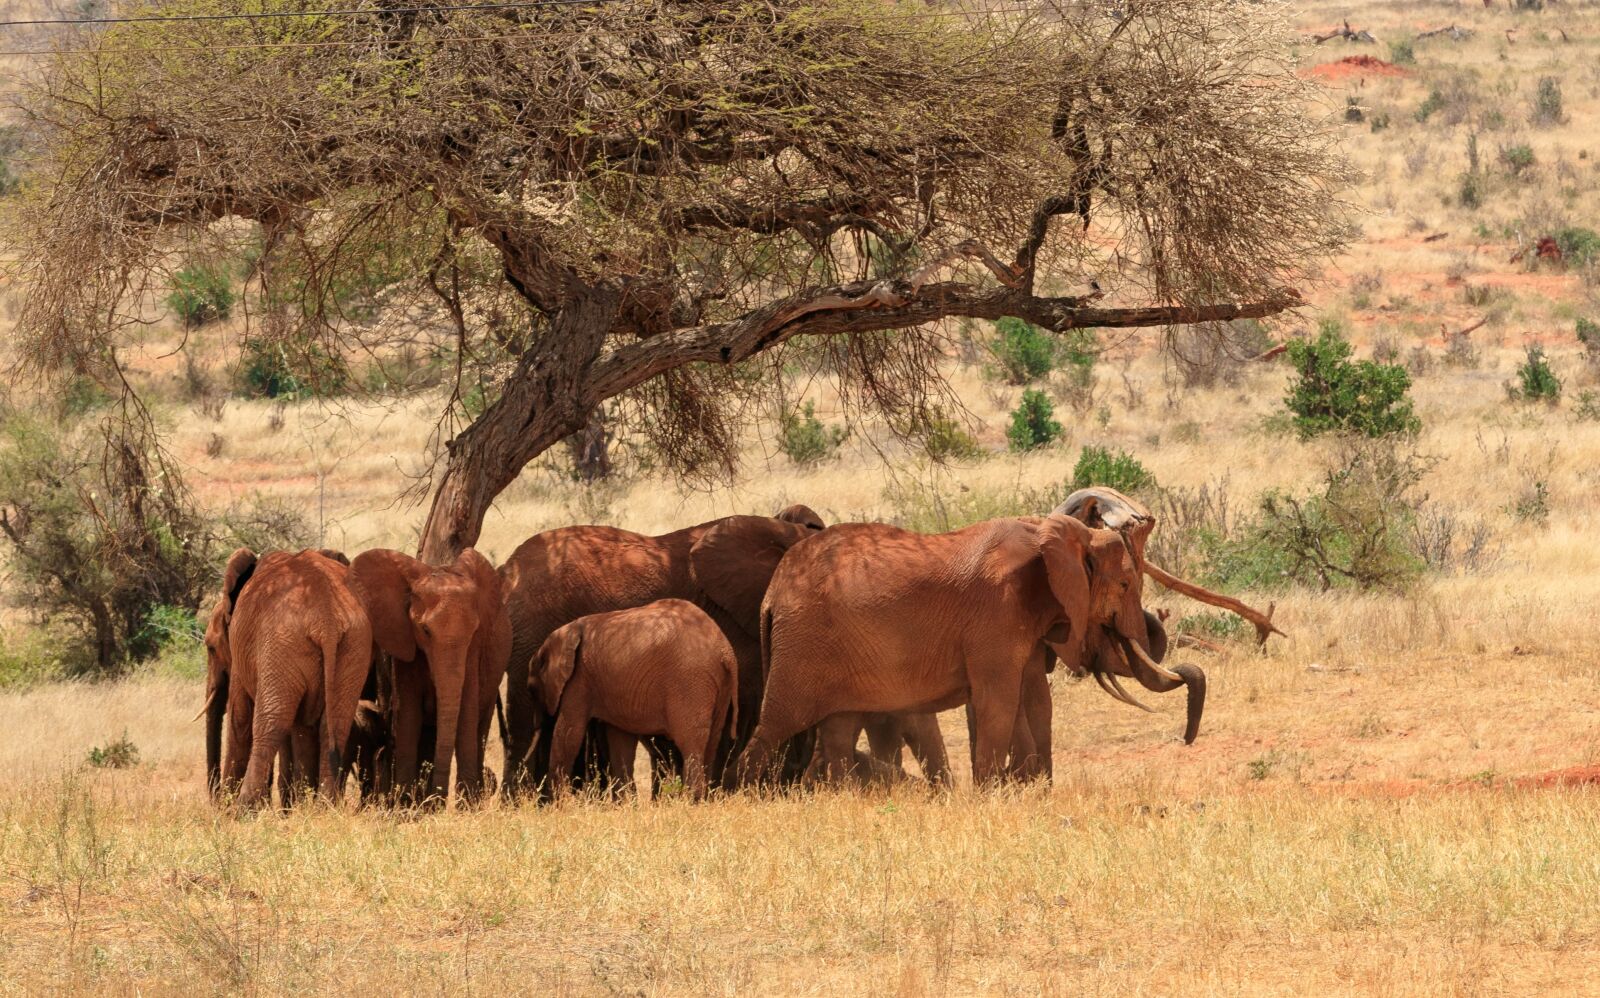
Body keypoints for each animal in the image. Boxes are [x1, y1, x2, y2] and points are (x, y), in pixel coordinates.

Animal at [212, 548, 373, 809]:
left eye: (211, 648)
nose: (215, 800)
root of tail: (327, 618)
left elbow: (240, 716)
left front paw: (224, 811)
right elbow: (303, 728)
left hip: (281, 642)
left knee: (270, 723)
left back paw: (243, 810)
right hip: (353, 645)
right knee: (335, 725)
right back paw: (324, 809)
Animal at [348, 547, 511, 807]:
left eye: (474, 630)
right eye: (425, 631)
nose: (439, 799)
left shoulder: (473, 650)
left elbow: (466, 712)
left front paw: (465, 808)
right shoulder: (404, 645)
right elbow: (408, 714)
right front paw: (407, 806)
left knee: (480, 726)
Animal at [531, 599, 739, 801]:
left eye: (533, 685)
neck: (568, 631)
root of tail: (726, 653)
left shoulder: (579, 679)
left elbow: (568, 733)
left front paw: (557, 802)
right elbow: (620, 741)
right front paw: (626, 804)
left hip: (690, 681)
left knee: (691, 744)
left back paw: (692, 801)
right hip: (717, 686)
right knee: (711, 743)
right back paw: (703, 799)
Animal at [740, 504, 1206, 786]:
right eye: (1126, 585)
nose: (1185, 739)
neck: (1055, 535)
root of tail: (773, 593)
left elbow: (1033, 699)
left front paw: (1031, 790)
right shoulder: (996, 615)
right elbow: (998, 700)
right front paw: (991, 794)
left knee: (837, 729)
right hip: (802, 646)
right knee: (777, 723)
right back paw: (748, 794)